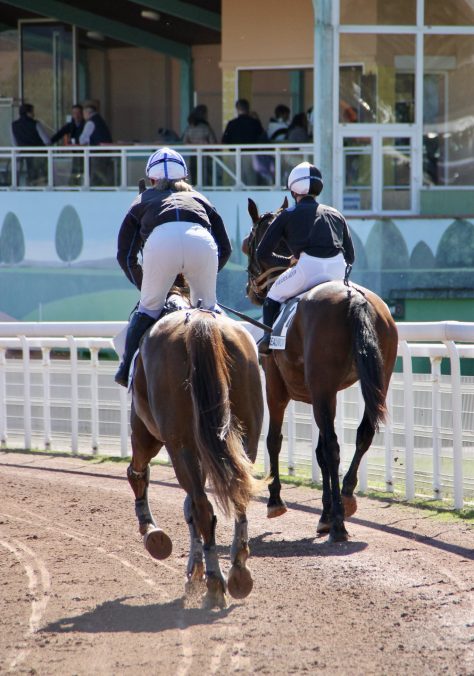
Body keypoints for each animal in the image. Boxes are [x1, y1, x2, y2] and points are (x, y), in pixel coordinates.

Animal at [127, 288, 262, 608]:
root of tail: (200, 322)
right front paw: (195, 570)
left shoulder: (147, 432)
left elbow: (140, 473)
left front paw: (152, 533)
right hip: (246, 436)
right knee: (239, 493)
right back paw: (238, 571)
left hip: (178, 444)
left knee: (201, 506)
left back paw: (215, 583)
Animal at [246, 199, 398, 544]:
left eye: (248, 244)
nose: (251, 290)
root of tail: (354, 299)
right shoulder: (324, 393)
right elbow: (318, 451)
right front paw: (325, 513)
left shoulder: (277, 386)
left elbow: (275, 439)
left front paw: (276, 501)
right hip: (375, 380)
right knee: (362, 434)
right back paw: (347, 498)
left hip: (320, 386)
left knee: (332, 446)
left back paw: (339, 523)